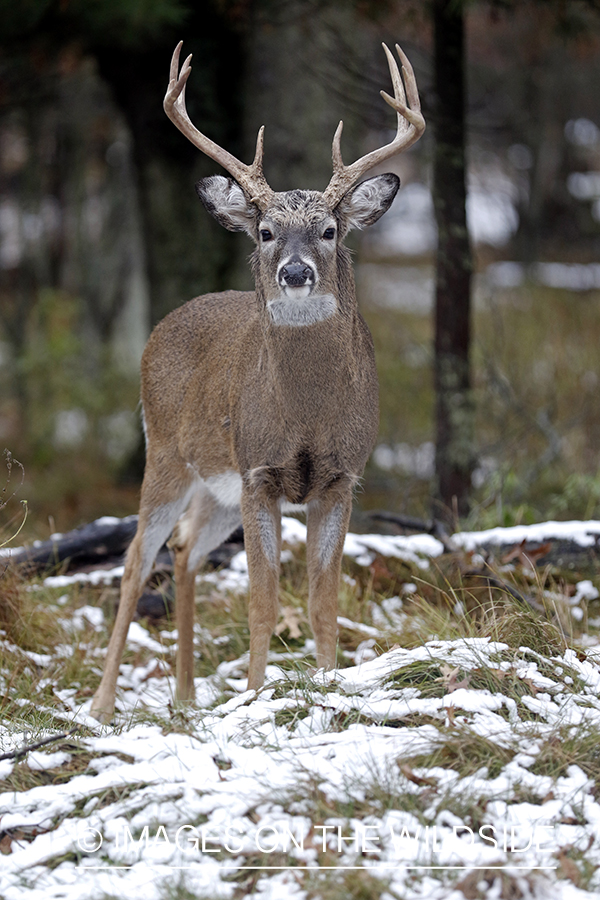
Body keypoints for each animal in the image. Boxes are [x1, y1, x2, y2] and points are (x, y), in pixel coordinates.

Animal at [91, 38, 424, 724]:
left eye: (330, 230)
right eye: (266, 231)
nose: (295, 273)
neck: (307, 415)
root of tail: (161, 326)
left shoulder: (341, 478)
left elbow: (323, 603)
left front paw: (329, 687)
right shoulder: (259, 473)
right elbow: (263, 602)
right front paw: (254, 696)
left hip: (217, 490)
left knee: (185, 550)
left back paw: (186, 698)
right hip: (166, 454)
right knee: (137, 559)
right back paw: (103, 706)